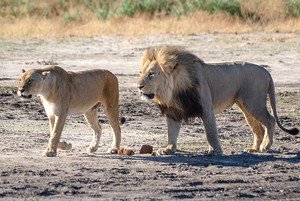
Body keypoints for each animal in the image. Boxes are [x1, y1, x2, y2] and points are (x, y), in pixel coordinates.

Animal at [137, 46, 298, 155]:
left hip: (254, 103)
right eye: (141, 73)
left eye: (151, 74)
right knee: (258, 128)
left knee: (270, 120)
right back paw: (254, 149)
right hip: (246, 106)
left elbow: (211, 131)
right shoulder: (174, 112)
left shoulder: (206, 108)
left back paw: (265, 146)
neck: (174, 90)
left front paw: (215, 150)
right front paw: (169, 149)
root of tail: (267, 72)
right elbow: (172, 132)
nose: (138, 86)